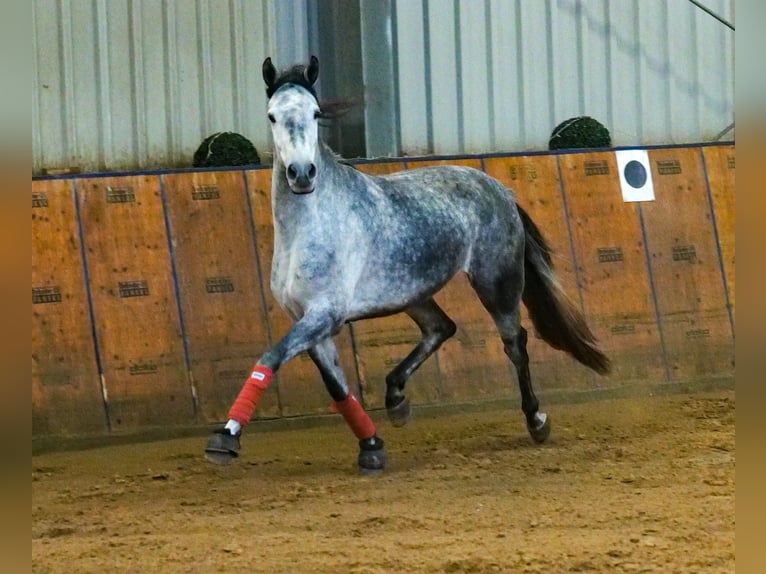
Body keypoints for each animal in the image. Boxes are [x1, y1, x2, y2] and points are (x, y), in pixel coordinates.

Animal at [206, 56, 612, 474]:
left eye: (316, 113)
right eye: (272, 115)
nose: (302, 174)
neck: (310, 226)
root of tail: (501, 190)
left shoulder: (325, 314)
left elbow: (270, 356)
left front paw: (226, 438)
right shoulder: (307, 319)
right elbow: (336, 386)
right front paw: (371, 446)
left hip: (496, 283)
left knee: (515, 343)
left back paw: (536, 420)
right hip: (413, 294)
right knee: (441, 328)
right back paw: (396, 399)